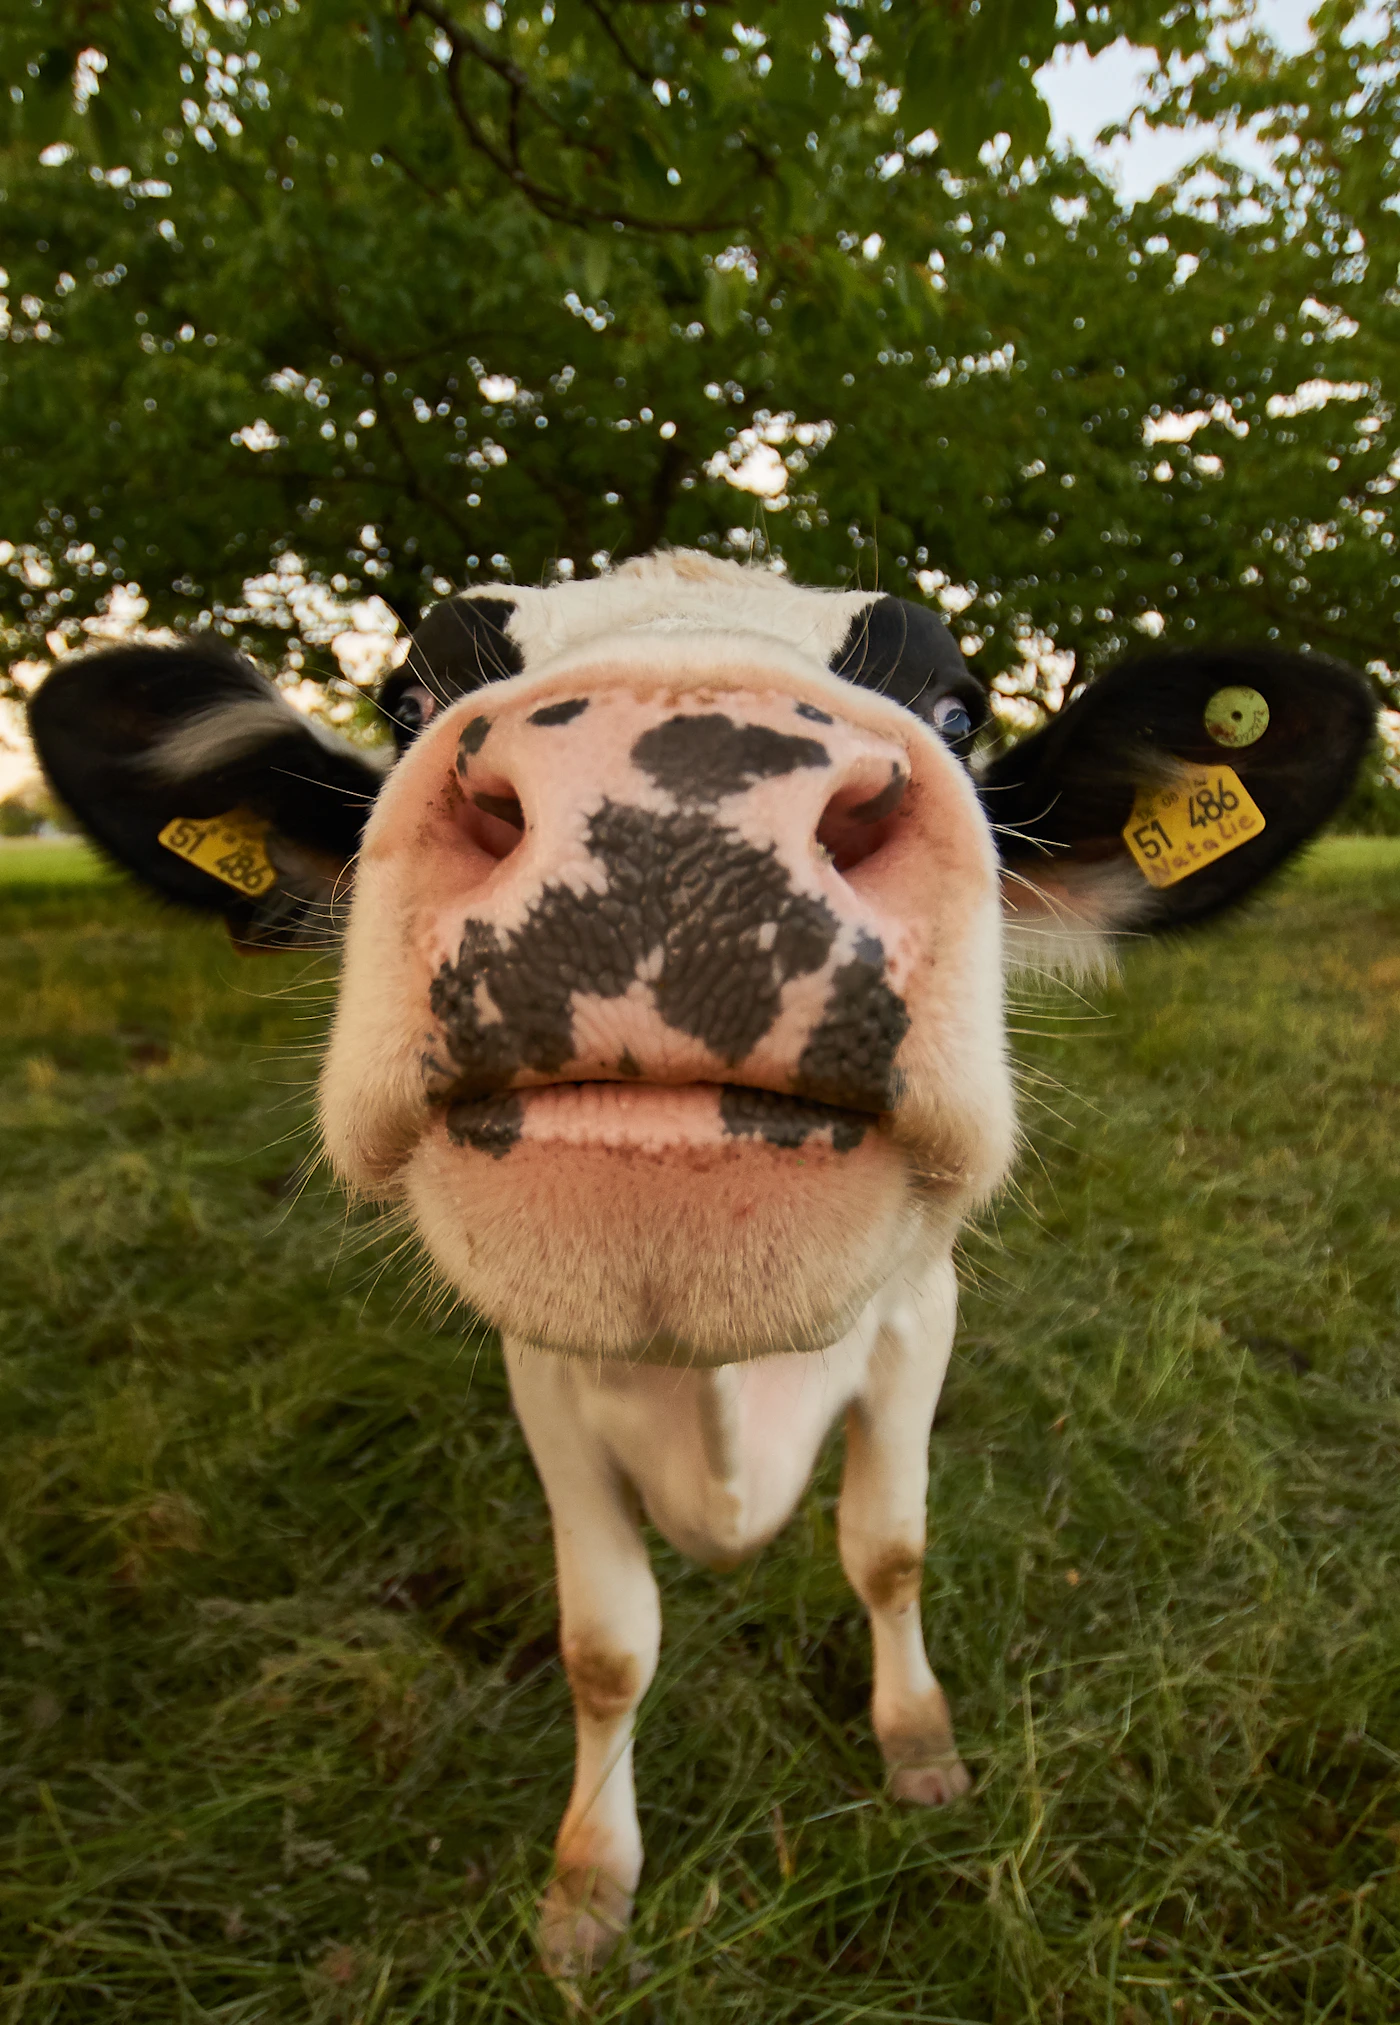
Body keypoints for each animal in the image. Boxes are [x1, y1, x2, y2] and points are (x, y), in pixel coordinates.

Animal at [30, 551, 1374, 1975]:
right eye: (406, 700)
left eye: (958, 709)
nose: (667, 809)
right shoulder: (545, 1381)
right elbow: (606, 1647)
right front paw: (586, 1885)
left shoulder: (918, 1323)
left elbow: (888, 1551)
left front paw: (917, 1744)